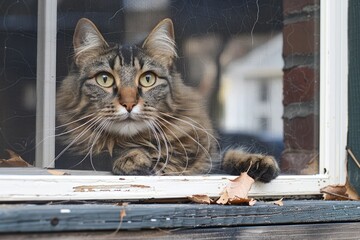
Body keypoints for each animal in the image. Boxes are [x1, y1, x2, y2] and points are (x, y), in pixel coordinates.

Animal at [56, 17, 280, 182]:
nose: (129, 104)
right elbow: (103, 153)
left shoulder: (208, 160)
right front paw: (133, 159)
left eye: (148, 79)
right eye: (105, 79)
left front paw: (258, 161)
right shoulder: (71, 156)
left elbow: (229, 155)